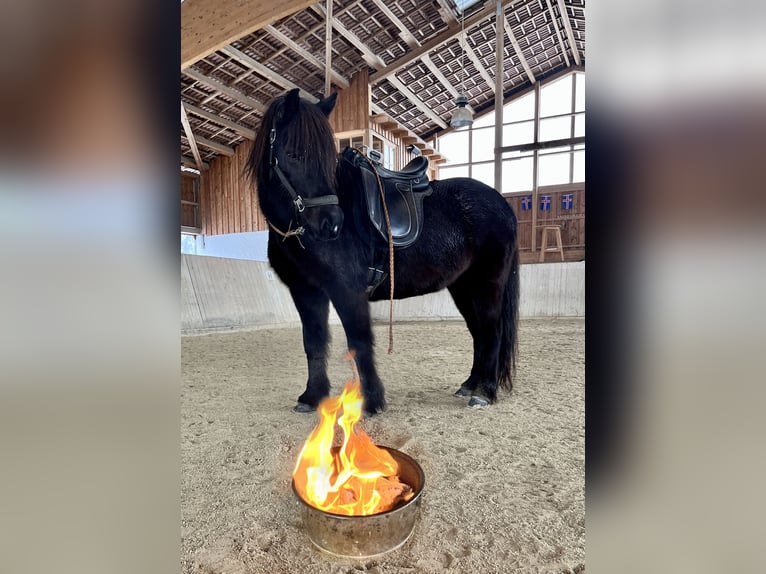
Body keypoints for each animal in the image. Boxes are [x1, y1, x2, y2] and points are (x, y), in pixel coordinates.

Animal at [245, 88, 519, 414]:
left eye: (327, 159)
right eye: (293, 155)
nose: (331, 224)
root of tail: (501, 204)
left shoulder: (347, 290)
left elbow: (359, 341)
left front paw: (372, 401)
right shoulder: (307, 292)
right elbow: (313, 342)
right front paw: (312, 397)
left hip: (488, 284)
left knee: (491, 332)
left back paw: (485, 392)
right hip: (464, 288)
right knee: (478, 332)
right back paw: (469, 385)